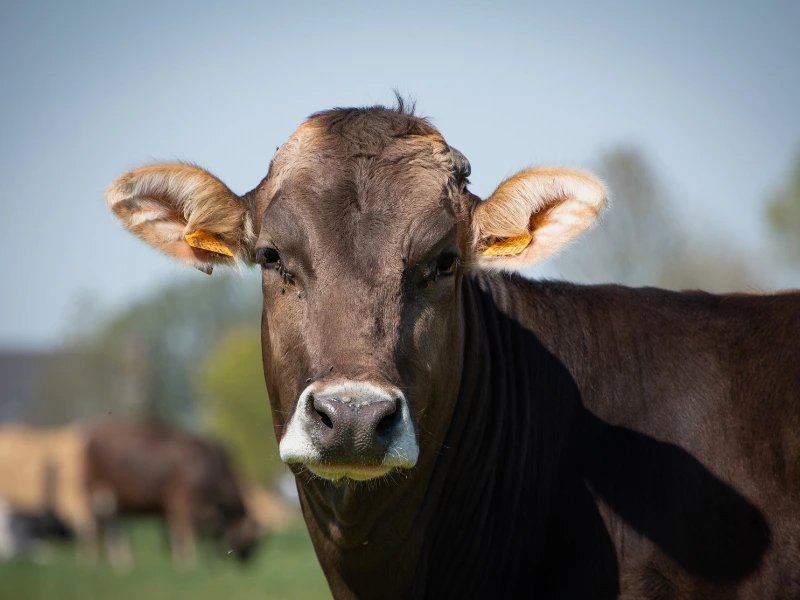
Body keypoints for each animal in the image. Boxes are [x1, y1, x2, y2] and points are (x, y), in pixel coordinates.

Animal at [84, 420, 260, 568]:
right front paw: (188, 562)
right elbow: (183, 528)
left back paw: (114, 560)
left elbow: (174, 529)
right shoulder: (181, 499)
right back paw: (107, 561)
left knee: (108, 524)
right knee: (101, 524)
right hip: (101, 492)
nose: (247, 564)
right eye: (250, 538)